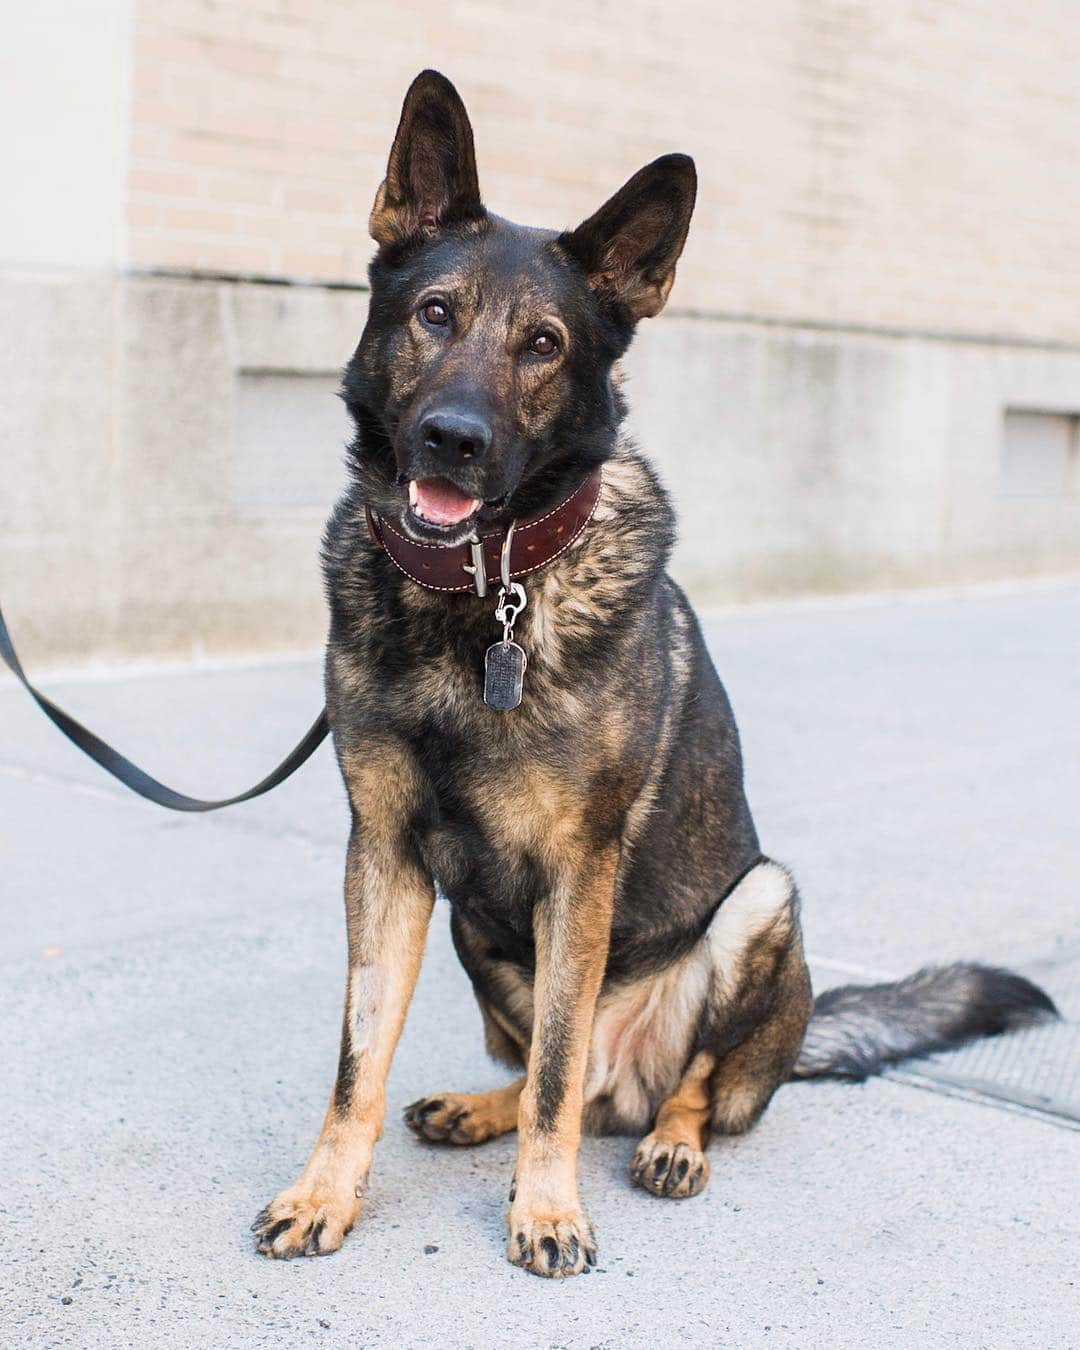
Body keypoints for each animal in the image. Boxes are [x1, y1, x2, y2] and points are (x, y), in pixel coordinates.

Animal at [251, 71, 1053, 1274]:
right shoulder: (386, 860)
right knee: (561, 1077)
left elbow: (553, 1071)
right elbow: (360, 1063)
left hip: (759, 904)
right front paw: (325, 1192)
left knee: (665, 1085)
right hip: (475, 923)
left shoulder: (579, 869)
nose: (452, 440)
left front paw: (546, 1211)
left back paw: (670, 1142)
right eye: (435, 314)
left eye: (543, 343)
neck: (483, 592)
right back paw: (476, 1110)